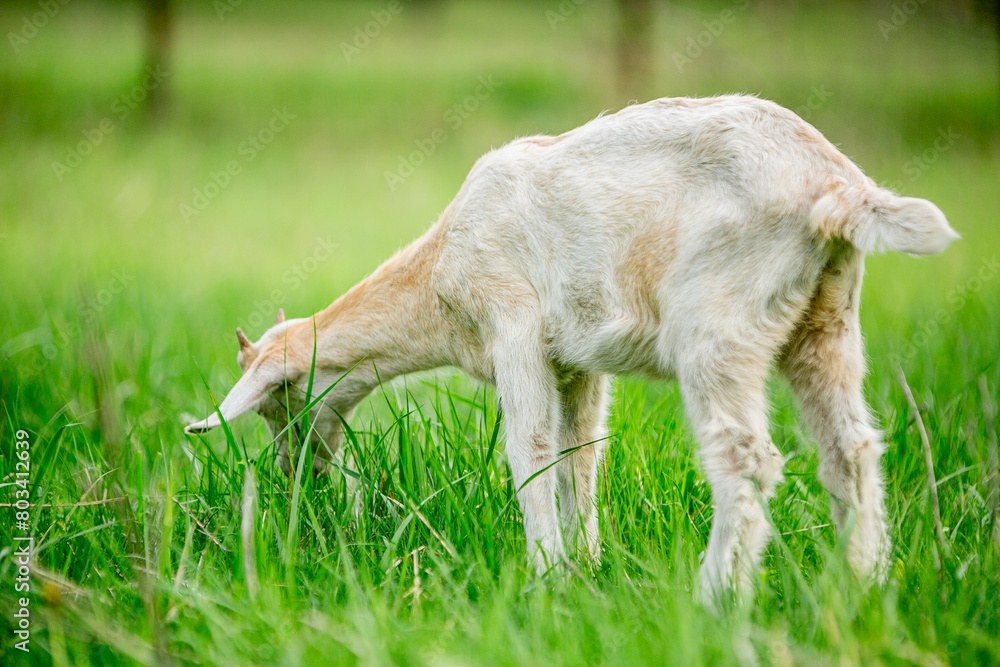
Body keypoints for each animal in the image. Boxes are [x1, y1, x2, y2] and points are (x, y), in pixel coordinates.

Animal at [186, 95, 957, 601]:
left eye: (277, 400)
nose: (298, 478)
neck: (438, 282)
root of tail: (838, 189)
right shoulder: (576, 362)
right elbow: (580, 456)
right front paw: (585, 564)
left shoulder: (514, 329)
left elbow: (528, 450)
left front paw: (545, 571)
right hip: (826, 318)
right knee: (851, 447)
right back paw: (861, 585)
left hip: (719, 319)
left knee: (749, 458)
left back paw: (715, 598)